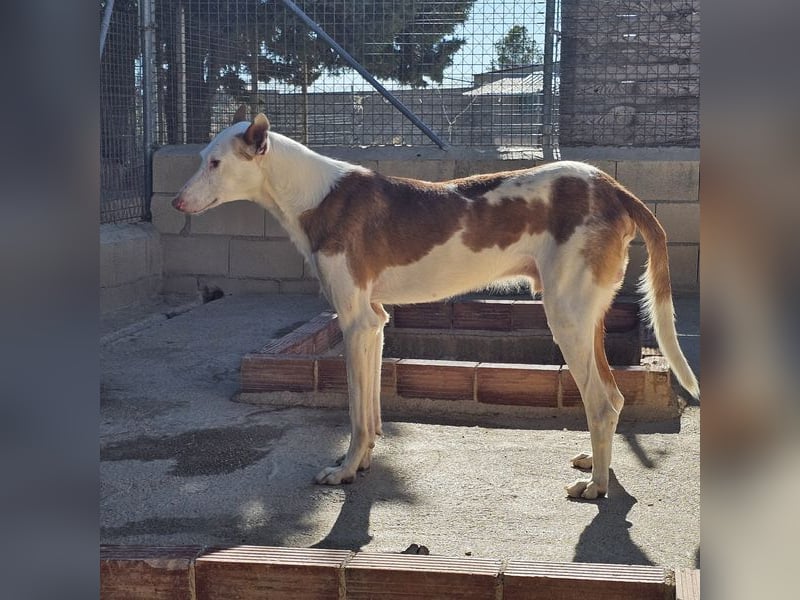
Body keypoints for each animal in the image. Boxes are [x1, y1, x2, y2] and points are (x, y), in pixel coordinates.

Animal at [172, 110, 696, 500]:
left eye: (215, 163)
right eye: (200, 159)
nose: (176, 202)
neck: (315, 195)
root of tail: (612, 186)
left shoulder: (354, 323)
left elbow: (356, 412)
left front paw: (344, 471)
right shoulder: (375, 322)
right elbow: (372, 410)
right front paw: (363, 463)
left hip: (565, 318)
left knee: (602, 402)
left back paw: (597, 487)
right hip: (588, 319)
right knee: (614, 396)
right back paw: (596, 465)